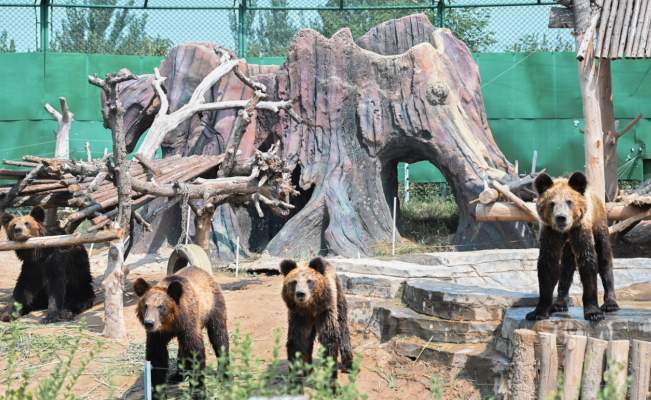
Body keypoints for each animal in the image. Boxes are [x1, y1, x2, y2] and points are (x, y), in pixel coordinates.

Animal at [132, 264, 229, 398]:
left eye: (161, 306)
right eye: (145, 305)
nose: (149, 323)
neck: (171, 322)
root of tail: (203, 271)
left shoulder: (189, 325)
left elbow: (195, 353)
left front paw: (198, 392)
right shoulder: (157, 335)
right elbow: (157, 357)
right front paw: (159, 393)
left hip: (213, 306)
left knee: (219, 336)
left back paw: (224, 374)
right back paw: (177, 376)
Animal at [278, 256, 354, 388]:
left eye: (309, 281)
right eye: (294, 281)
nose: (301, 293)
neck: (310, 307)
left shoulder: (325, 311)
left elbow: (329, 339)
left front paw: (333, 386)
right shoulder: (298, 316)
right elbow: (296, 341)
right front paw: (296, 383)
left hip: (338, 294)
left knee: (342, 324)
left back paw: (348, 365)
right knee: (308, 340)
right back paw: (308, 369)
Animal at [524, 172, 620, 322]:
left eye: (569, 201)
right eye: (552, 203)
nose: (561, 217)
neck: (567, 229)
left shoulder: (581, 229)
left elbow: (588, 261)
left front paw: (594, 313)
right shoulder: (551, 233)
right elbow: (547, 265)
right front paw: (537, 312)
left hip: (599, 221)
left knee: (604, 257)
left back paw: (610, 303)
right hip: (568, 246)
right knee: (566, 266)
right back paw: (559, 303)